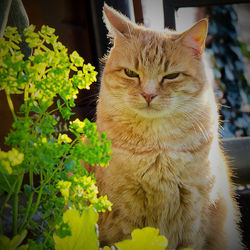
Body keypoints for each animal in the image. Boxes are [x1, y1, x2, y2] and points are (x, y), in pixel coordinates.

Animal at [92, 3, 242, 250]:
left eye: (171, 76)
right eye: (131, 73)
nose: (148, 94)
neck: (157, 148)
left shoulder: (193, 218)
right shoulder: (124, 216)